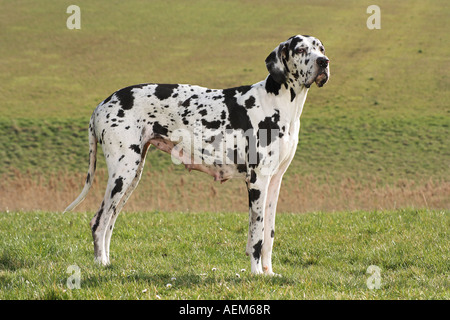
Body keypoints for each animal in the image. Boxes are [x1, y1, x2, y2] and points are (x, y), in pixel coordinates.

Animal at [64, 34, 330, 276]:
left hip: (131, 176)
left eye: (320, 48)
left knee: (110, 221)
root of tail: (101, 104)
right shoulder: (257, 181)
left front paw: (269, 273)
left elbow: (269, 235)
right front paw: (256, 274)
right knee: (99, 221)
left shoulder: (274, 182)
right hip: (122, 174)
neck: (278, 103)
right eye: (301, 49)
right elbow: (256, 236)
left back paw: (107, 264)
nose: (324, 62)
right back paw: (100, 265)